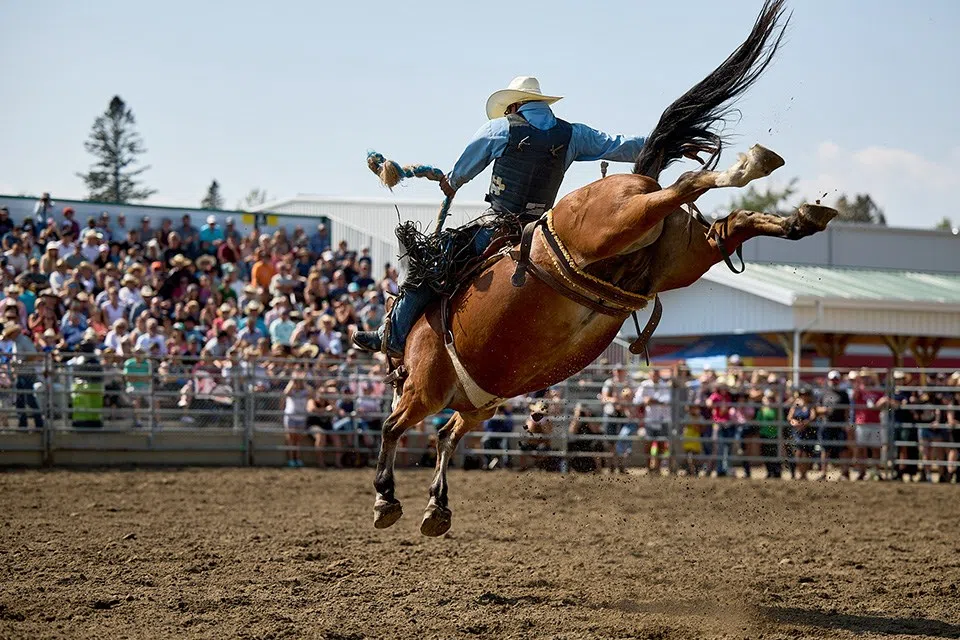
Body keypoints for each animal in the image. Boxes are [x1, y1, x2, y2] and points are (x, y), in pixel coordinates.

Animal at [368, 0, 832, 536]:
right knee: (727, 225)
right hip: (683, 256)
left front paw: (385, 497)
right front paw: (436, 508)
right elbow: (447, 437)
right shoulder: (481, 406)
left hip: (614, 225)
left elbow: (393, 426)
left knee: (687, 184)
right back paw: (799, 215)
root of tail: (633, 180)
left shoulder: (424, 390)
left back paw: (747, 167)